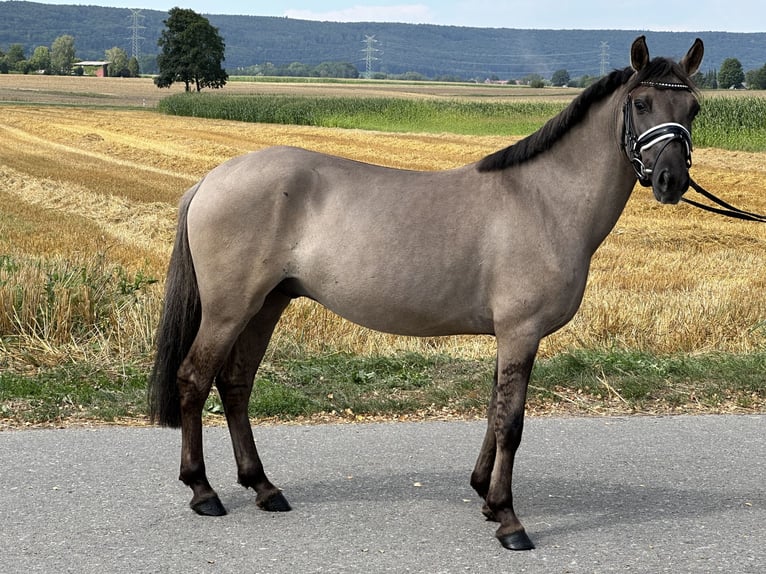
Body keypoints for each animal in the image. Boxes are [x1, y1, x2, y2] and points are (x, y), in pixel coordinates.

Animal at [150, 37, 708, 552]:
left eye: (694, 109)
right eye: (642, 103)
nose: (671, 181)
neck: (543, 200)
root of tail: (210, 180)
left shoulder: (508, 337)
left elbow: (494, 411)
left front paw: (485, 497)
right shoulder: (521, 332)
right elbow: (510, 422)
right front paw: (509, 520)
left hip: (266, 305)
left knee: (236, 384)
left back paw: (264, 488)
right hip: (229, 309)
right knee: (194, 379)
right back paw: (203, 492)